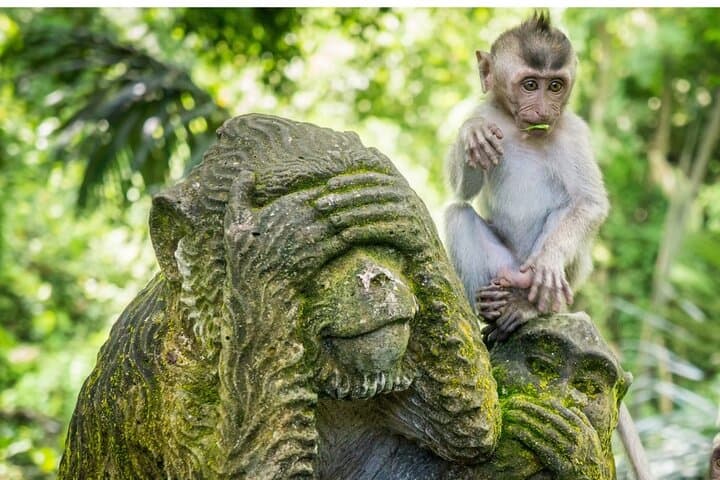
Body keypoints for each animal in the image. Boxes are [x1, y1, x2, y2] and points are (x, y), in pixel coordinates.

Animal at [443, 11, 609, 343]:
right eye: (530, 85)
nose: (544, 110)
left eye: (555, 86)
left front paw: (550, 260)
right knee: (457, 213)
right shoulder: (484, 111)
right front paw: (471, 132)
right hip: (502, 265)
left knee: (566, 212)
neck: (522, 130)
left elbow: (590, 202)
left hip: (552, 274)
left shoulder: (573, 133)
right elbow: (462, 191)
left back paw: (530, 307)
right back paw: (489, 307)